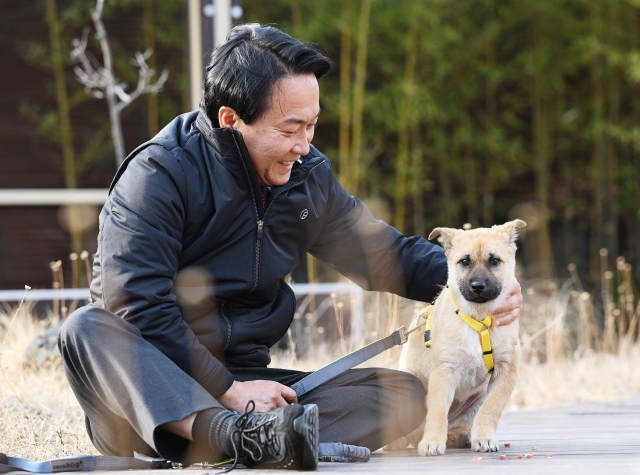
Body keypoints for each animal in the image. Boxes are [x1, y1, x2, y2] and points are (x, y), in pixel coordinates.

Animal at [398, 221, 524, 456]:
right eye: (465, 261)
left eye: (495, 261)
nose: (478, 286)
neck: (480, 320)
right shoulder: (445, 370)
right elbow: (437, 410)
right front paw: (432, 441)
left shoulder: (506, 370)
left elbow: (491, 408)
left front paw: (483, 437)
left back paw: (459, 436)